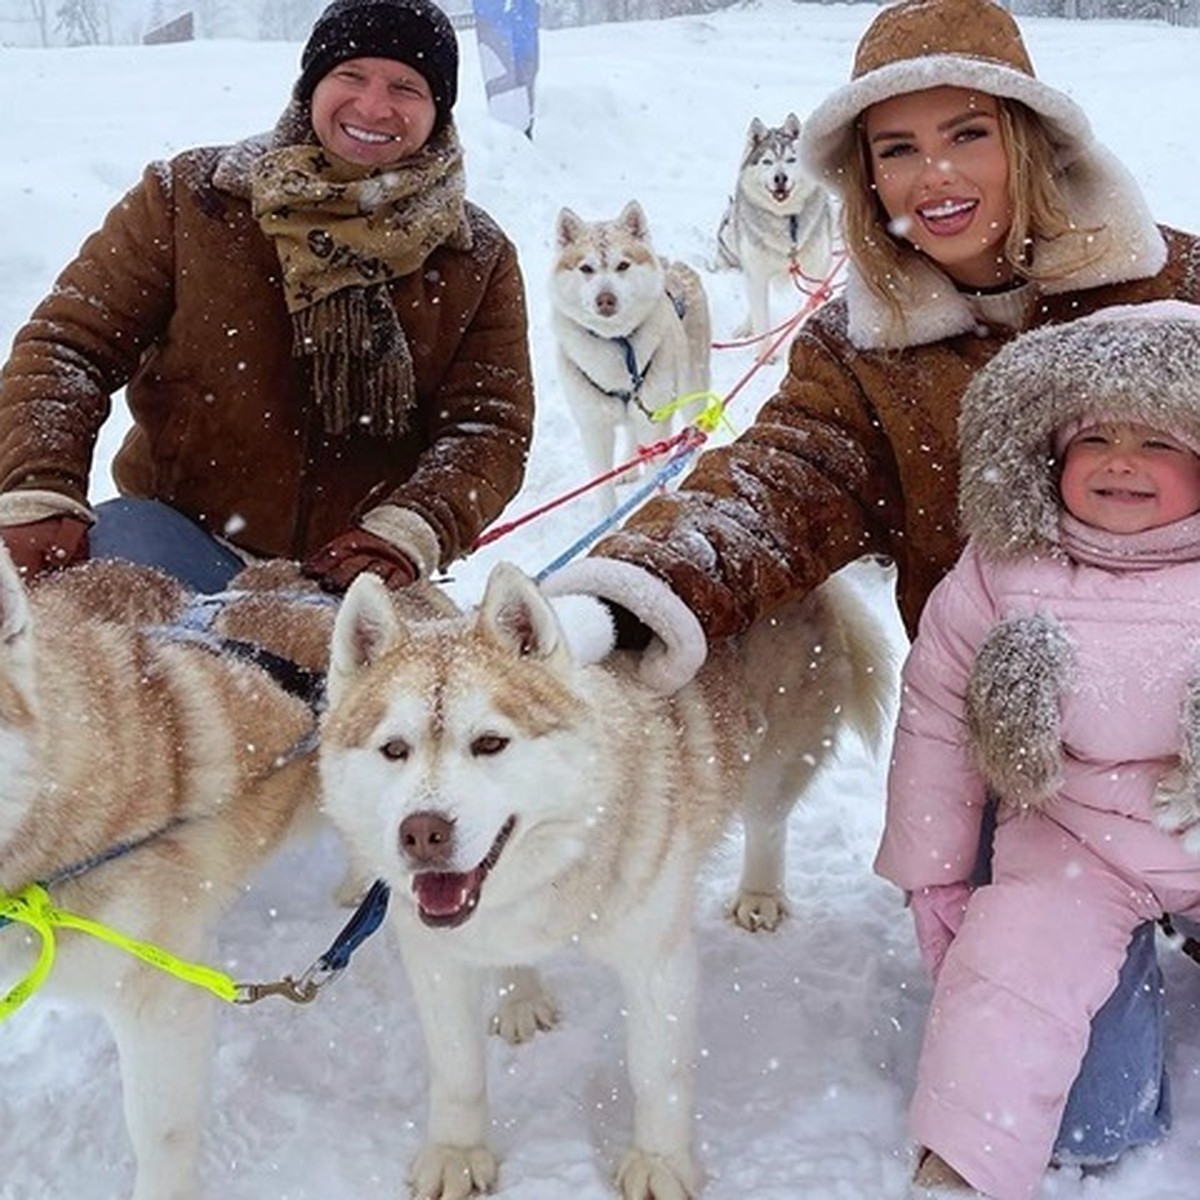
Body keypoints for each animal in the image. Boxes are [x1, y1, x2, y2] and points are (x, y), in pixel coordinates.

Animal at [319, 564, 892, 1200]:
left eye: (490, 742)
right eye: (394, 749)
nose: (422, 833)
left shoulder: (657, 961)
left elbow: (655, 1071)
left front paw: (660, 1162)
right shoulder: (439, 961)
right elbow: (456, 1068)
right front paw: (457, 1153)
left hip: (775, 762)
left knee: (768, 823)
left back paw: (760, 895)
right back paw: (523, 995)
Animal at [552, 201, 710, 511]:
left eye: (622, 265)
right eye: (586, 268)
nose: (605, 299)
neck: (616, 344)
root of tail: (673, 264)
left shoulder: (655, 421)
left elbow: (655, 478)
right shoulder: (594, 428)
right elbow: (603, 492)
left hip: (691, 388)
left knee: (694, 432)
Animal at [710, 112, 835, 355]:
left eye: (791, 160)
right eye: (767, 162)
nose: (780, 178)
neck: (787, 221)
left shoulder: (815, 270)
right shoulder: (757, 274)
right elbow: (761, 318)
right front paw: (765, 355)